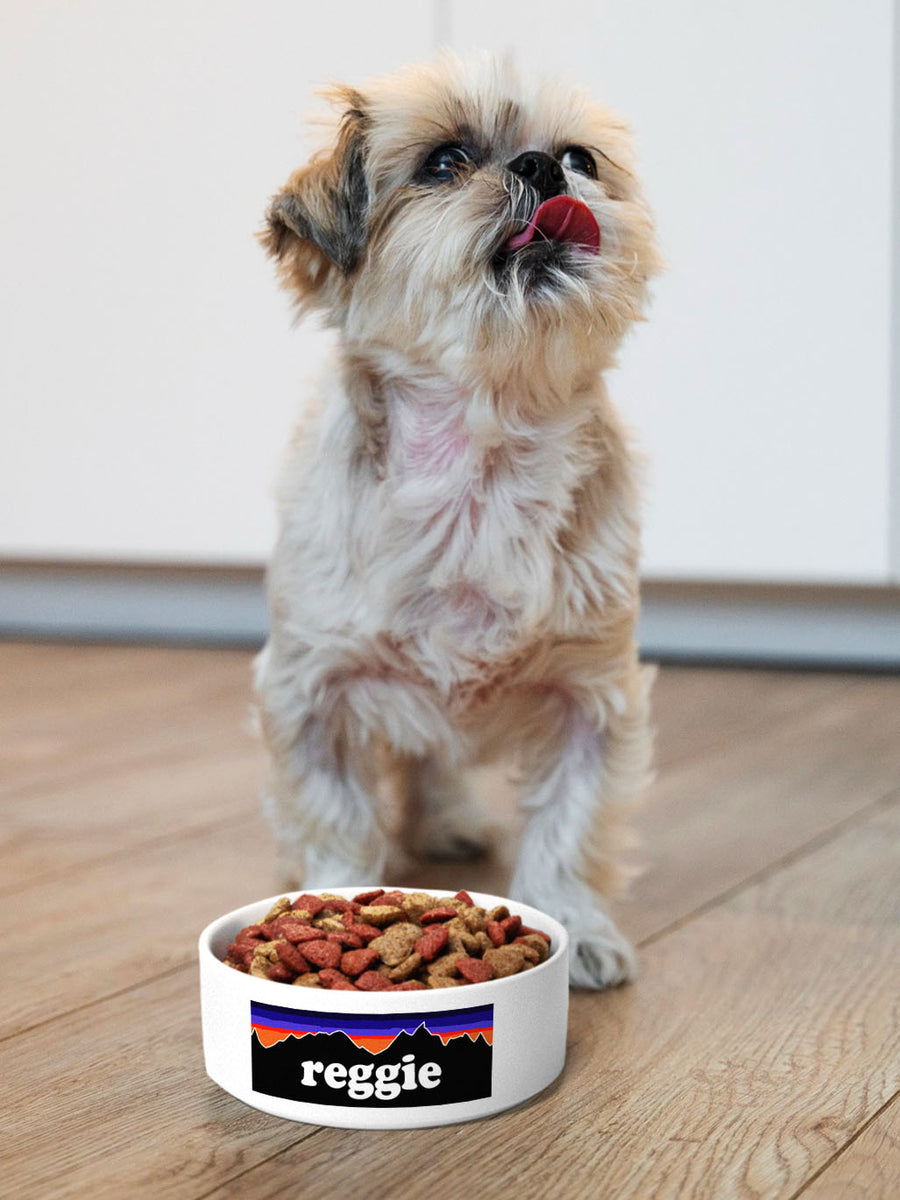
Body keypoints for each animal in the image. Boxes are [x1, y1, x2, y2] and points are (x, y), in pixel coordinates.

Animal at [254, 51, 662, 988]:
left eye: (581, 157)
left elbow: (569, 830)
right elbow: (337, 816)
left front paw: (577, 930)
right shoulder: (312, 690)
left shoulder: (592, 697)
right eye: (444, 162)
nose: (543, 168)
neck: (480, 470)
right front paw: (328, 901)